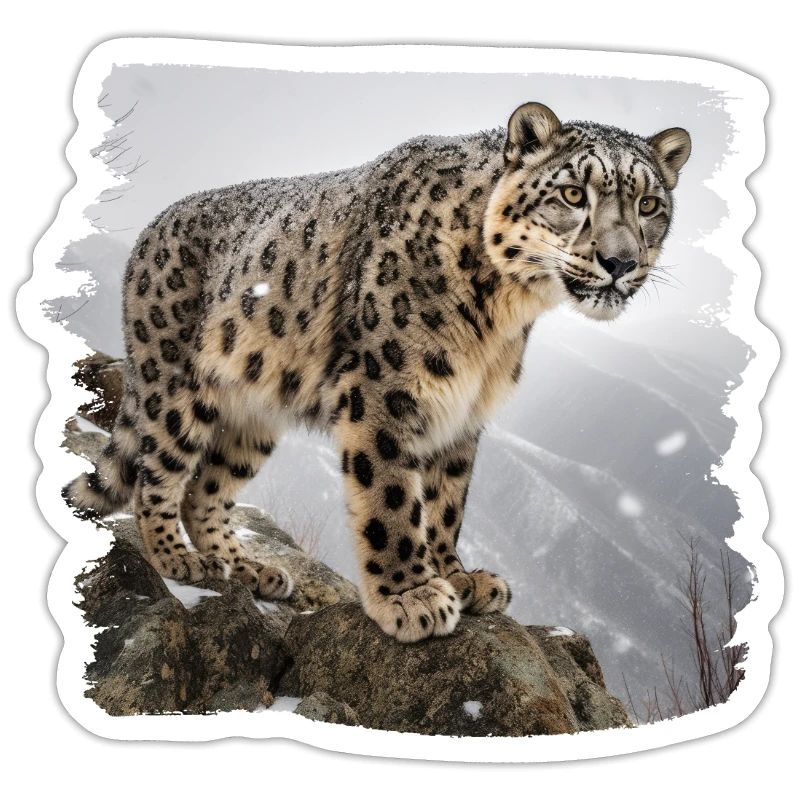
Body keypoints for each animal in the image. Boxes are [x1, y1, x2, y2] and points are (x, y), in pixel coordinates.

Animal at [64, 102, 691, 643]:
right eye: (572, 193)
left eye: (649, 205)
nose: (620, 262)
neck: (501, 316)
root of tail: (150, 230)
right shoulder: (385, 388)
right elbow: (392, 494)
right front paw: (412, 597)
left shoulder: (463, 411)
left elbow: (447, 501)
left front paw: (458, 576)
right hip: (176, 384)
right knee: (158, 474)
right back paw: (179, 559)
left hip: (254, 419)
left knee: (207, 491)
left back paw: (246, 568)